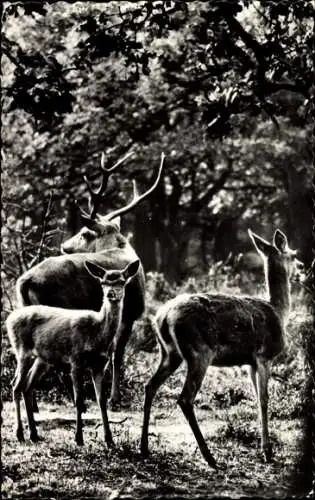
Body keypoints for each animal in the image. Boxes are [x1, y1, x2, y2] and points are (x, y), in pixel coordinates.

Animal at [5, 258, 139, 446]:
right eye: (103, 282)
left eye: (122, 281)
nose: (111, 294)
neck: (97, 333)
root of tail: (9, 319)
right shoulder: (75, 359)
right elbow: (78, 399)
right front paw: (79, 438)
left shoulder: (100, 365)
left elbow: (101, 400)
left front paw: (109, 439)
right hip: (22, 350)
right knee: (16, 386)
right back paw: (19, 434)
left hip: (43, 358)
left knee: (27, 386)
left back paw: (34, 434)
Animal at [15, 152, 165, 410]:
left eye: (85, 234)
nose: (65, 246)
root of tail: (24, 281)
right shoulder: (131, 313)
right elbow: (117, 354)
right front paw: (114, 398)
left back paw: (34, 405)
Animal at [141, 229, 304, 468]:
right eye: (293, 255)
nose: (302, 269)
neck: (279, 312)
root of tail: (163, 317)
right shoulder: (264, 356)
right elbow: (264, 400)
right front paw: (267, 451)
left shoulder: (249, 363)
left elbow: (257, 398)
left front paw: (264, 448)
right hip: (199, 352)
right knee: (185, 398)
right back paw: (209, 456)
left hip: (169, 353)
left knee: (150, 386)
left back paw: (144, 447)